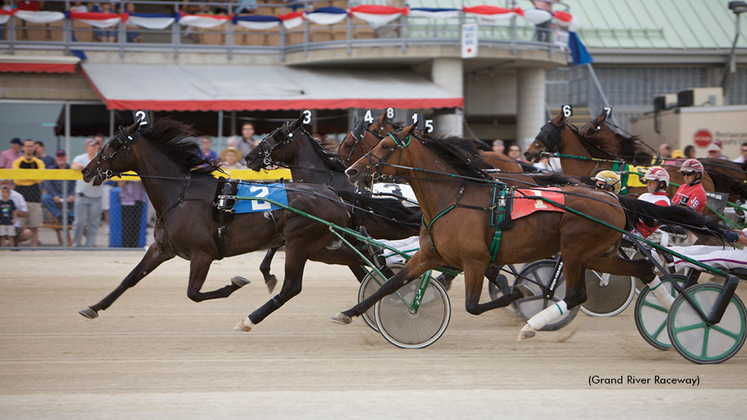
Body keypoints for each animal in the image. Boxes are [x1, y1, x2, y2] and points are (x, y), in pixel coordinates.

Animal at [78, 117, 372, 332]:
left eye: (113, 145)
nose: (86, 171)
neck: (182, 193)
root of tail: (334, 196)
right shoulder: (162, 248)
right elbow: (130, 278)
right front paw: (93, 307)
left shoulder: (203, 254)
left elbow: (194, 293)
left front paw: (236, 283)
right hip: (322, 247)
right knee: (365, 262)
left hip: (300, 244)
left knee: (293, 287)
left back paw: (250, 319)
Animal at [336, 123, 720, 340]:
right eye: (374, 143)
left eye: (385, 146)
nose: (351, 171)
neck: (456, 197)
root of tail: (613, 198)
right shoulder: (429, 255)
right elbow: (388, 285)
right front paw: (350, 313)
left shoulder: (474, 261)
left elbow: (475, 304)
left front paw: (520, 293)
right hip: (602, 254)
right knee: (642, 269)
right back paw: (677, 314)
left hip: (575, 250)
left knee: (576, 294)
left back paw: (532, 324)